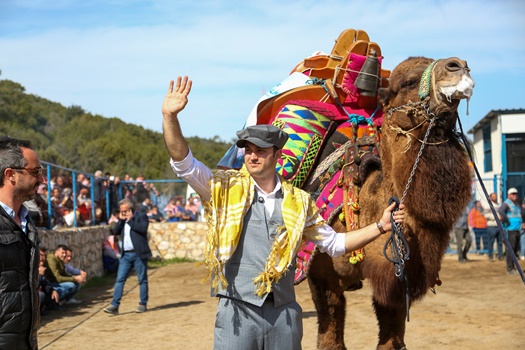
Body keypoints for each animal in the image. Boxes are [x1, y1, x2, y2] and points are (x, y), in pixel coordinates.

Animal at [300, 56, 472, 348]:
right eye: (409, 82)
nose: (458, 65)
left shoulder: (397, 278)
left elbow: (391, 339)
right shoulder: (321, 275)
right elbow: (330, 339)